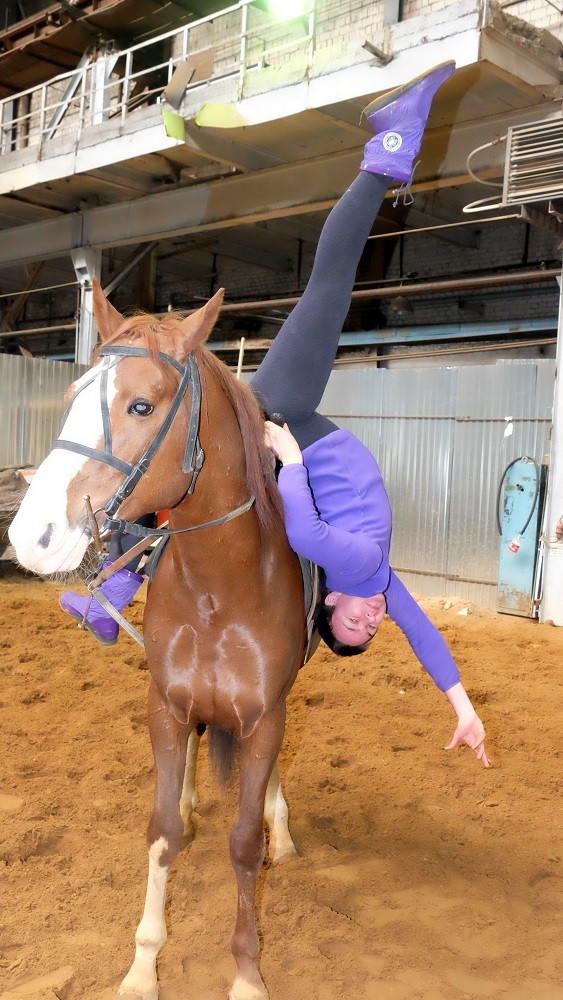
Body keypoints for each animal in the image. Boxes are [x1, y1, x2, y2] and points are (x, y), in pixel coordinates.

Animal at [7, 280, 308, 1000]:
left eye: (141, 405)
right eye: (71, 396)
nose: (30, 536)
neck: (219, 590)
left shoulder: (265, 718)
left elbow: (244, 843)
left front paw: (246, 973)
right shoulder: (166, 708)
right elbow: (162, 831)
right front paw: (143, 964)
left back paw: (281, 827)